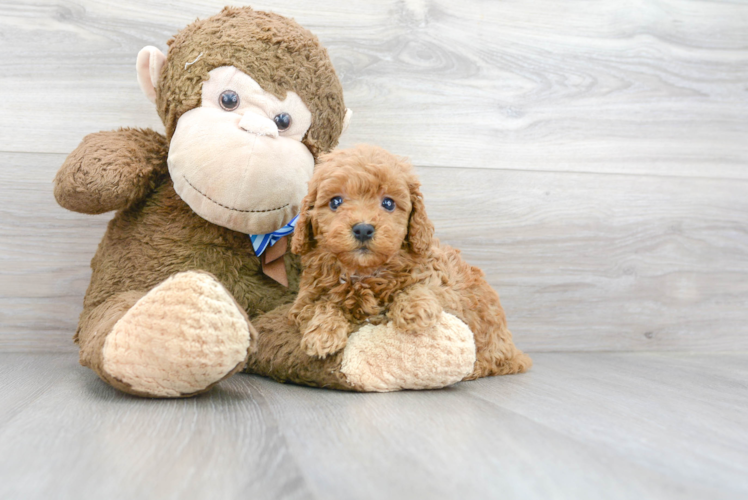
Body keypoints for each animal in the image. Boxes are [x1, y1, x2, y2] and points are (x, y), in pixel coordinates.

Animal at [290, 145, 528, 378]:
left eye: (388, 203)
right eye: (335, 202)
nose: (363, 229)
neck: (363, 272)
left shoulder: (443, 284)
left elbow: (418, 286)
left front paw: (416, 309)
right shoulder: (305, 299)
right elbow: (320, 304)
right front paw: (323, 332)